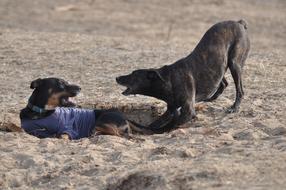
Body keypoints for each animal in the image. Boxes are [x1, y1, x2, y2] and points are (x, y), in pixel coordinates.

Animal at [19, 77, 151, 140]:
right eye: (61, 84)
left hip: (101, 121)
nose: (80, 87)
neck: (41, 113)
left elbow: (61, 136)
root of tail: (125, 117)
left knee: (121, 135)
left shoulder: (68, 130)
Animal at [116, 18, 250, 132]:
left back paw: (234, 108)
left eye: (133, 75)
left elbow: (171, 125)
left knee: (240, 90)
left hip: (234, 64)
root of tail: (239, 23)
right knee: (223, 83)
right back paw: (210, 98)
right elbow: (154, 124)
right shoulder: (171, 109)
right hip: (219, 66)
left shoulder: (187, 111)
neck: (169, 79)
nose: (117, 77)